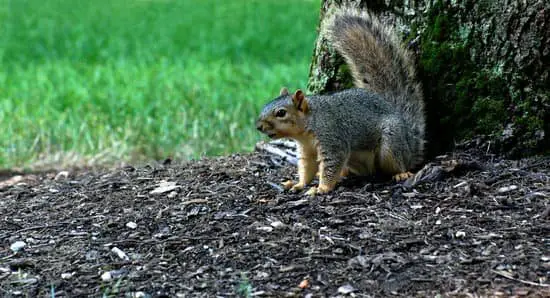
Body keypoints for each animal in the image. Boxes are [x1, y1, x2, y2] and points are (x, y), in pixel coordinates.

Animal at [258, 5, 426, 197]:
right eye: (264, 106)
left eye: (281, 113)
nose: (259, 126)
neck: (308, 126)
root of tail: (409, 139)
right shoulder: (307, 151)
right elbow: (307, 168)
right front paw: (299, 184)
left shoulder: (332, 139)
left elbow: (332, 165)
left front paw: (321, 188)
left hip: (391, 142)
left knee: (397, 162)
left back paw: (401, 173)